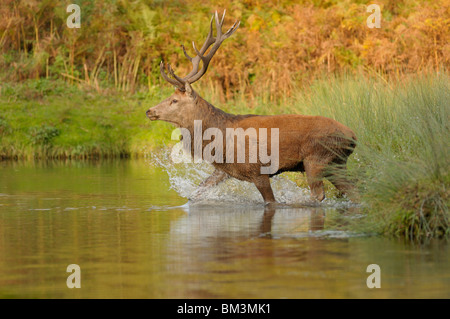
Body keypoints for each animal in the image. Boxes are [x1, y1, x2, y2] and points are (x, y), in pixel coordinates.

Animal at [146, 10, 356, 208]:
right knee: (353, 191)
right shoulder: (224, 170)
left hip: (316, 158)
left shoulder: (257, 169)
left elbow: (271, 202)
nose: (149, 111)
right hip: (337, 164)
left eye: (174, 100)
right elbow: (196, 193)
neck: (219, 140)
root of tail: (353, 136)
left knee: (318, 194)